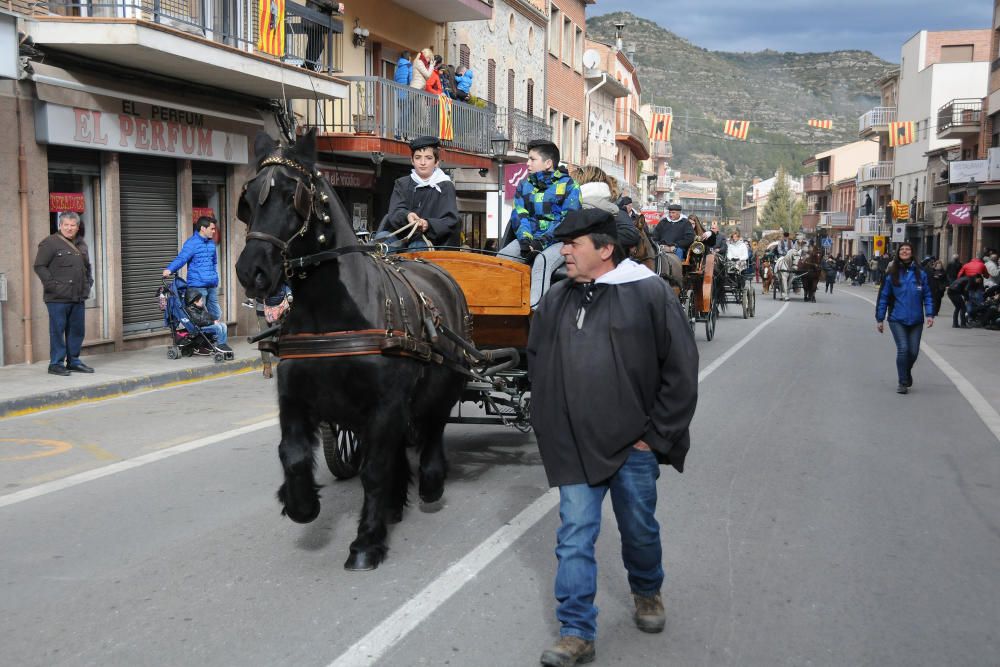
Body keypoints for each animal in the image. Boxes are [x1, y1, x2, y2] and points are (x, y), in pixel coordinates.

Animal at [234, 129, 468, 568]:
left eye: (293, 194)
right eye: (249, 197)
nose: (250, 271)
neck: (333, 313)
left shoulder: (385, 405)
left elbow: (374, 470)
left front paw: (366, 542)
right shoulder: (295, 399)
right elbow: (293, 454)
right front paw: (300, 504)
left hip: (445, 383)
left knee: (434, 427)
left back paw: (429, 482)